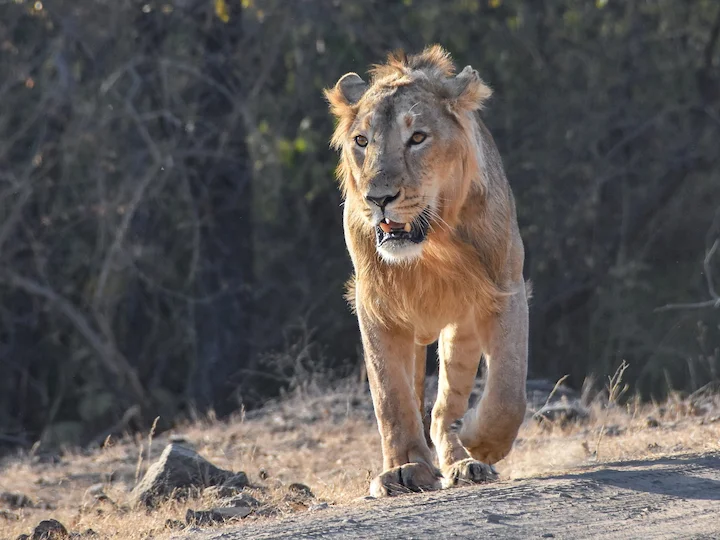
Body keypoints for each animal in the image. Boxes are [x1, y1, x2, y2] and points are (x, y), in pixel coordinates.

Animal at [324, 45, 529, 497]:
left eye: (417, 138)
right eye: (361, 141)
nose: (378, 198)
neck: (429, 246)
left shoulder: (504, 290)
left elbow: (507, 392)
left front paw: (480, 442)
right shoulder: (376, 307)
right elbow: (390, 397)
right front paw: (405, 468)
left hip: (460, 331)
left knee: (443, 408)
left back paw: (464, 461)